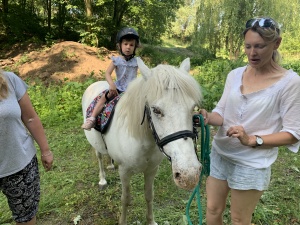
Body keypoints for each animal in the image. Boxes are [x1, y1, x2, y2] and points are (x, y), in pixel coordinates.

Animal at [82, 57, 203, 224]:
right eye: (156, 110)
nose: (189, 176)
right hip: (95, 144)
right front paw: (122, 221)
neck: (144, 142)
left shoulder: (152, 169)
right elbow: (125, 199)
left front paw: (151, 221)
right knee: (99, 156)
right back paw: (102, 180)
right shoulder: (124, 171)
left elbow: (149, 196)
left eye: (193, 108)